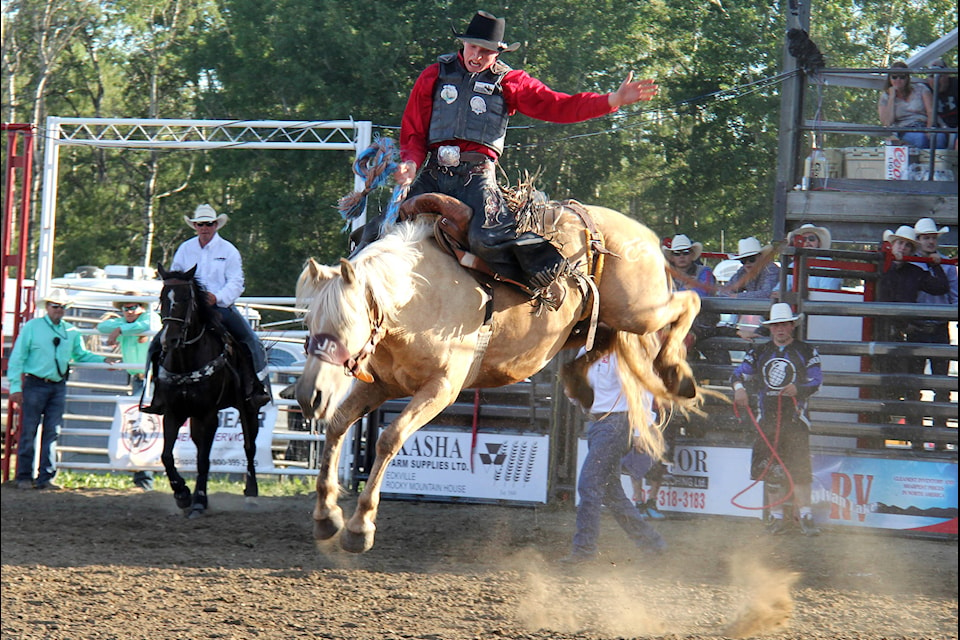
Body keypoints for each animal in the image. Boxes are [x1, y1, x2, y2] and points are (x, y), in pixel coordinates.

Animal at [157, 262, 262, 516]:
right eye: (162, 297)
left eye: (186, 298)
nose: (170, 340)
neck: (186, 361)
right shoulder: (173, 413)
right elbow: (167, 456)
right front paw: (182, 494)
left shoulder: (209, 414)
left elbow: (204, 460)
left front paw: (198, 500)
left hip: (249, 409)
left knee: (249, 446)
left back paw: (251, 493)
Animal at [292, 202, 696, 552]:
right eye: (308, 323)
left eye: (346, 325)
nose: (308, 396)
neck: (417, 295)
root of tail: (640, 233)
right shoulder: (383, 385)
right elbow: (338, 424)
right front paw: (327, 516)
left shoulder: (441, 389)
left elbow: (389, 438)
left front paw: (359, 528)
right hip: (597, 322)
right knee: (601, 346)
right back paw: (584, 385)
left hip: (640, 310)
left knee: (688, 300)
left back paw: (677, 373)